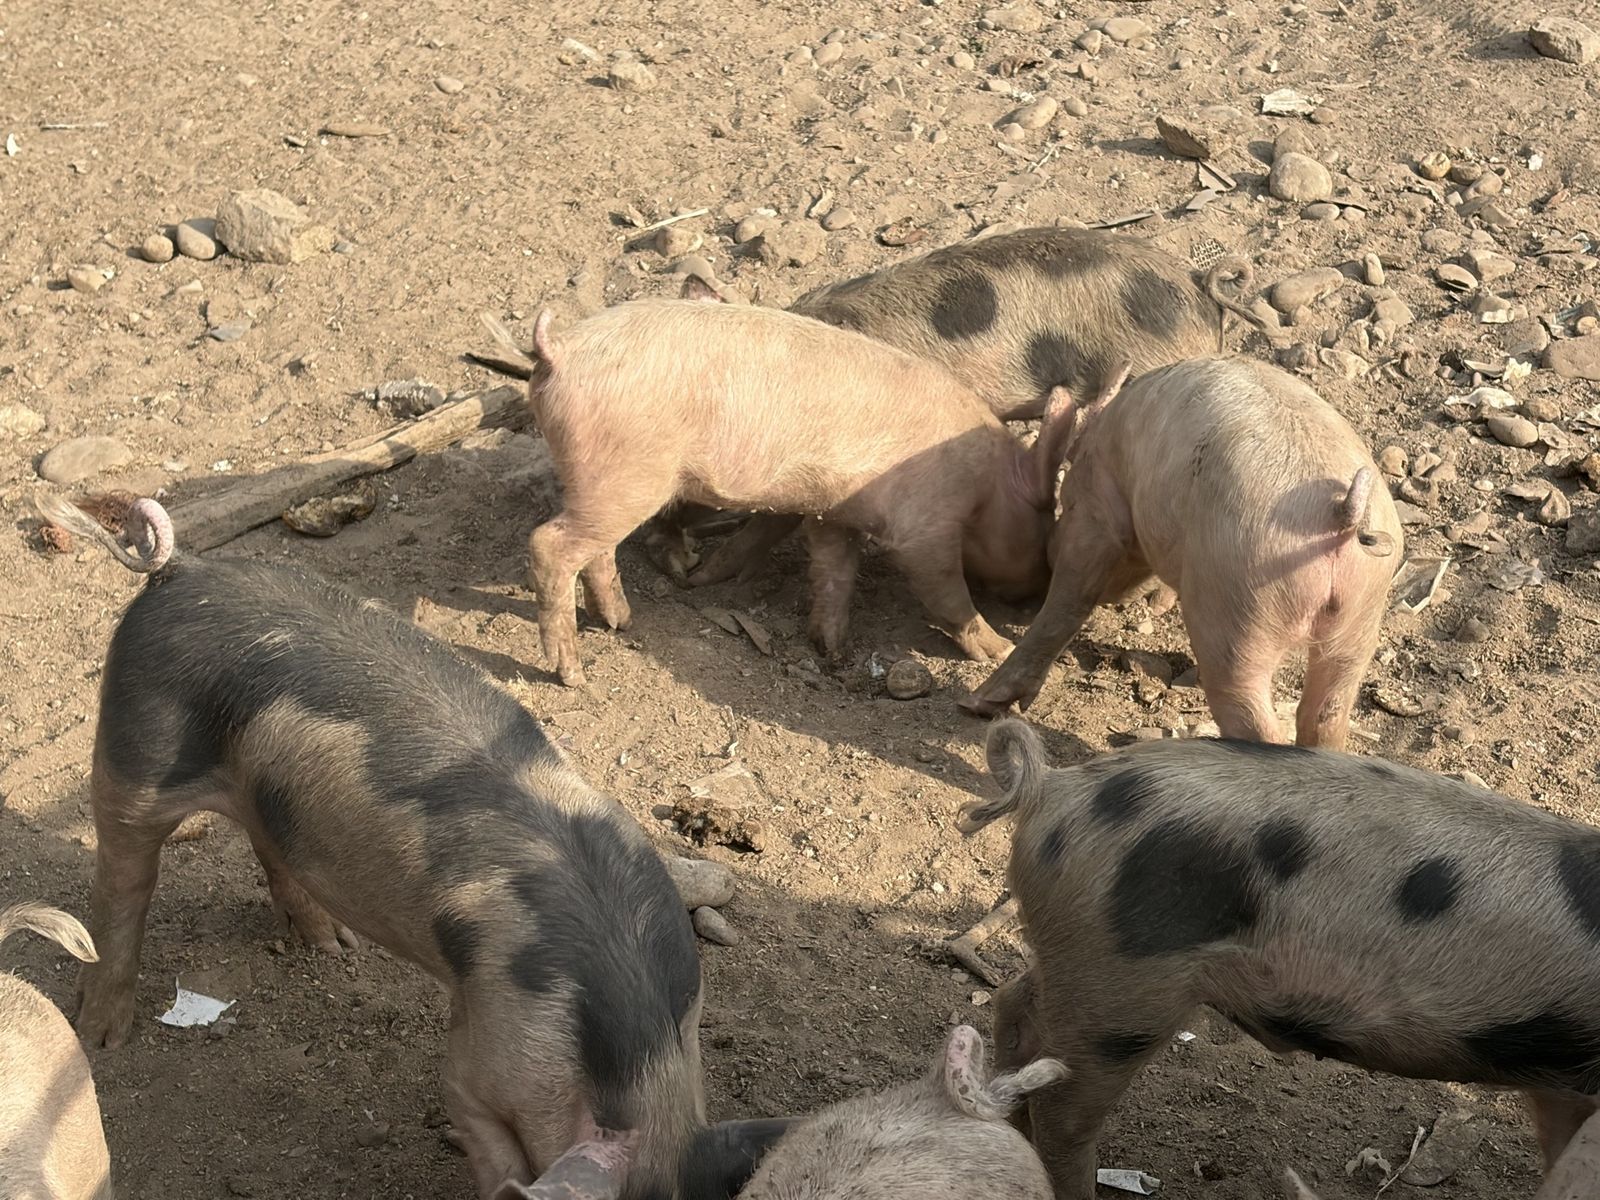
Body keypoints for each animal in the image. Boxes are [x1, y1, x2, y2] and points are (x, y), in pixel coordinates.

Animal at [37, 493, 786, 1200]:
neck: (636, 1057)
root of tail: (181, 568)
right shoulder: (487, 1057)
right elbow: (475, 1119)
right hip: (137, 743)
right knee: (122, 882)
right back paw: (104, 1035)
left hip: (261, 789)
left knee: (266, 842)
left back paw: (333, 947)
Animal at [511, 300, 1076, 686]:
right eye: (1044, 524)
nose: (1032, 599)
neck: (986, 482)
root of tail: (559, 350)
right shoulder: (925, 526)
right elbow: (944, 590)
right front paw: (997, 649)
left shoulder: (834, 511)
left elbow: (833, 570)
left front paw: (832, 648)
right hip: (628, 473)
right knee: (548, 544)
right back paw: (571, 674)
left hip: (607, 483)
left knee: (596, 550)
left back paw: (620, 623)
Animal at [959, 717, 1600, 1200]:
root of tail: (1054, 788)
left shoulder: (1564, 1085)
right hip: (1122, 986)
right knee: (1063, 1113)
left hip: (1081, 960)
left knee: (1016, 1005)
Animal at [963, 356, 1403, 751]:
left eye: (1063, 504)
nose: (1048, 552)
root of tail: (1340, 514)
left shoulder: (1096, 510)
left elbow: (1070, 598)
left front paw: (977, 704)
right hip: (1360, 616)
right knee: (1326, 712)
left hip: (1236, 607)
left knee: (1252, 718)